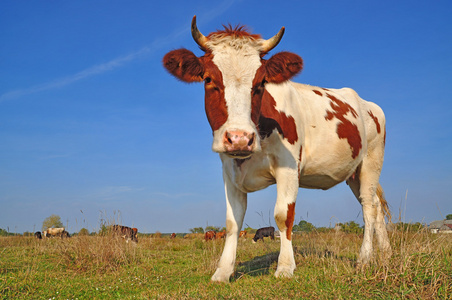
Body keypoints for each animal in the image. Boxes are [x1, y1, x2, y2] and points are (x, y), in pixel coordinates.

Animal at [163, 17, 392, 284]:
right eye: (208, 79)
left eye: (261, 82)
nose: (240, 139)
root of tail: (368, 104)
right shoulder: (230, 172)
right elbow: (232, 222)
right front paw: (223, 271)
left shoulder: (288, 168)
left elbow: (284, 216)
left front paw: (285, 267)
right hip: (354, 174)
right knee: (375, 205)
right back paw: (385, 255)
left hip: (371, 162)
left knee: (368, 207)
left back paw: (364, 259)